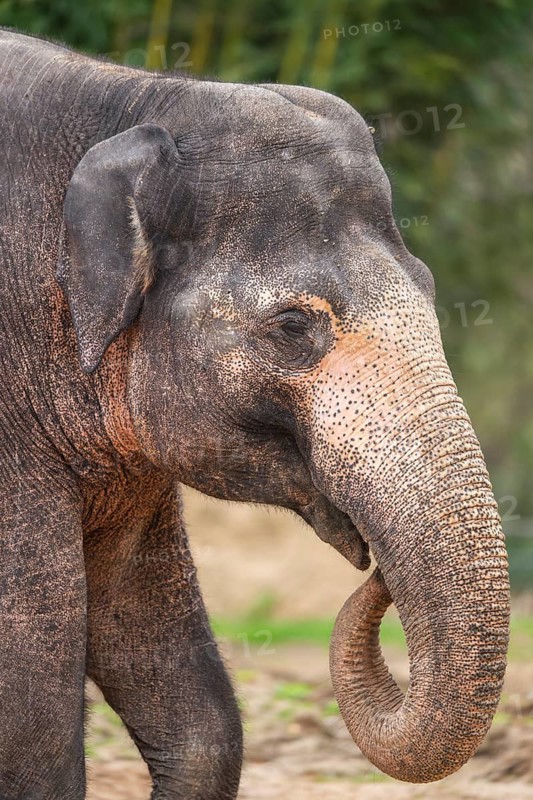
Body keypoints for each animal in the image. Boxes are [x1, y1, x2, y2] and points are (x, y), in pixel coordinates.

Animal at [0, 28, 509, 800]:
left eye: (426, 288)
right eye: (294, 326)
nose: (376, 571)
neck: (135, 101)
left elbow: (196, 715)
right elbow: (32, 717)